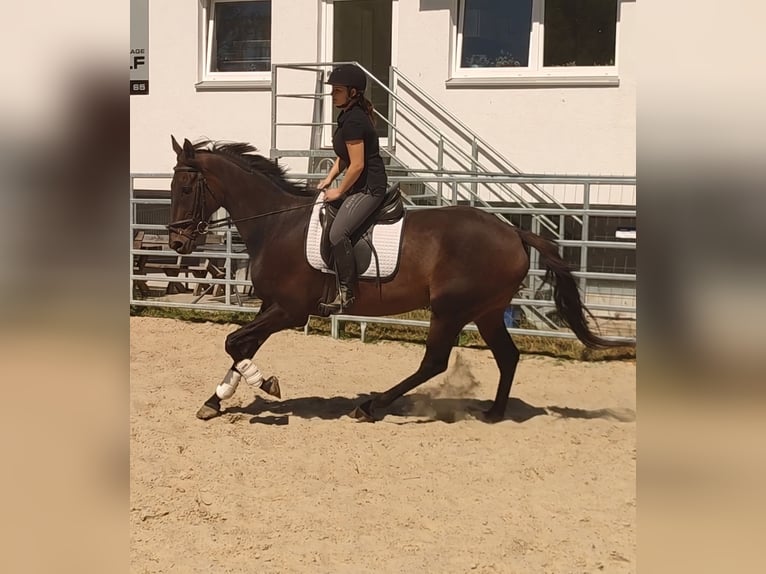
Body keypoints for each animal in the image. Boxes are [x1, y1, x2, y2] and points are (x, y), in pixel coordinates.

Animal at [167, 136, 627, 423]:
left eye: (186, 187)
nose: (177, 243)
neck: (277, 224)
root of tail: (513, 231)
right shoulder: (271, 305)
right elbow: (241, 346)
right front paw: (215, 400)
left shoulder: (290, 309)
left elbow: (233, 342)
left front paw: (265, 384)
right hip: (487, 311)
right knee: (508, 356)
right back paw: (494, 412)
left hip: (451, 309)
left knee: (434, 361)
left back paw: (371, 407)